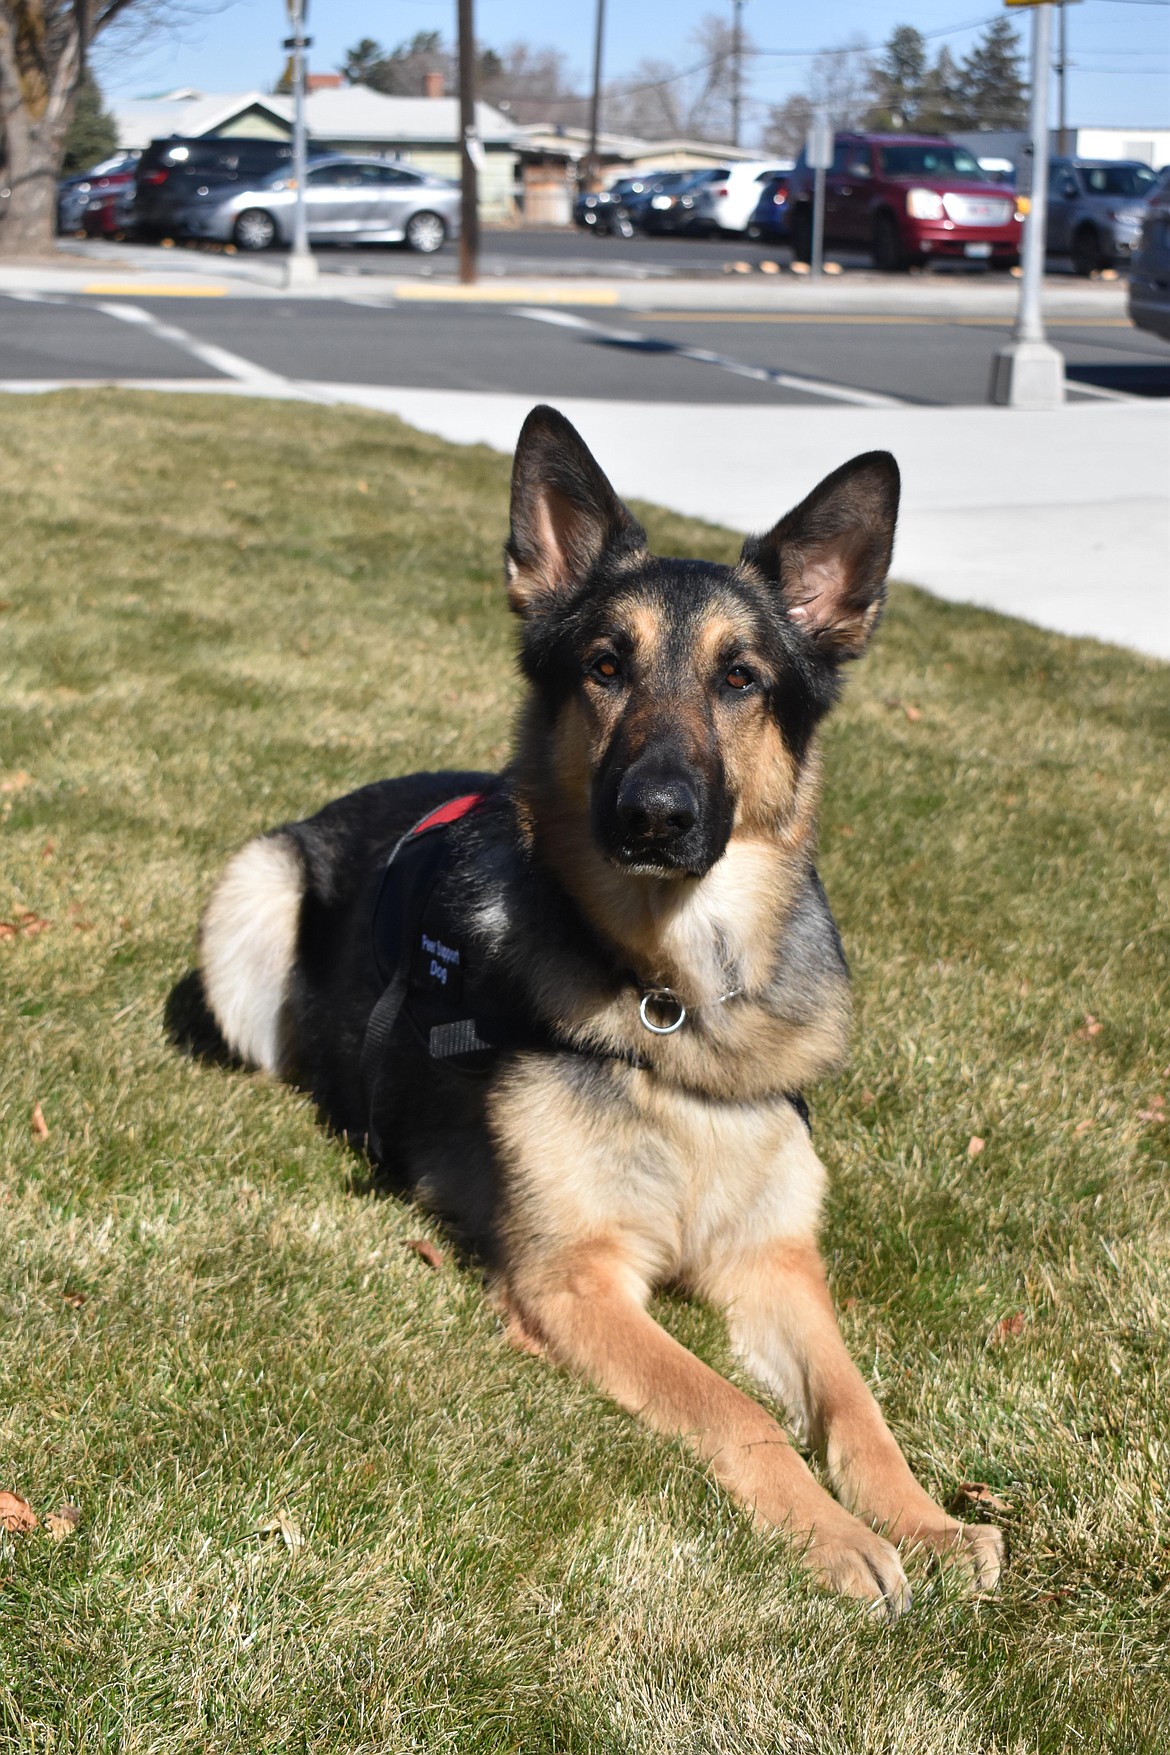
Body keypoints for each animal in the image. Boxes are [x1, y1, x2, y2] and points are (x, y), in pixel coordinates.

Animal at [199, 407, 1010, 1614]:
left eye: (741, 678)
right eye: (604, 666)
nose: (655, 816)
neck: (673, 1002)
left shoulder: (775, 1268)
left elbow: (856, 1408)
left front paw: (924, 1519)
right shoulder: (575, 1280)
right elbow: (736, 1406)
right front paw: (830, 1533)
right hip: (251, 893)